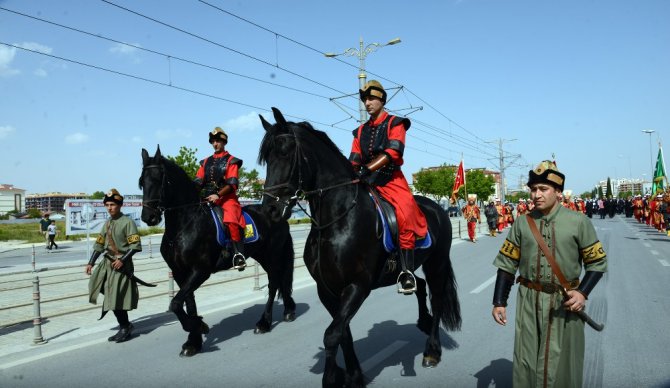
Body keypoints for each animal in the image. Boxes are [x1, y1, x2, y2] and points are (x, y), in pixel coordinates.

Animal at [140, 146, 296, 358]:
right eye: (142, 181)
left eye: (158, 179)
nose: (148, 217)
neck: (185, 225)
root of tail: (278, 212)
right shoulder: (181, 273)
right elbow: (187, 303)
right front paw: (193, 341)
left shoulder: (200, 271)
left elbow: (175, 304)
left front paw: (198, 326)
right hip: (263, 256)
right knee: (280, 281)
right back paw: (288, 311)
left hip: (272, 256)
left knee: (274, 284)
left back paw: (264, 323)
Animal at [258, 107, 462, 386]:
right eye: (266, 158)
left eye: (285, 151)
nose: (269, 210)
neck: (337, 219)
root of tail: (439, 208)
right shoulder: (327, 289)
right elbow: (343, 333)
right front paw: (354, 375)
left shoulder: (357, 286)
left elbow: (332, 334)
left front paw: (332, 377)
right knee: (418, 285)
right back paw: (422, 319)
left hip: (437, 263)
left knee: (438, 299)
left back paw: (432, 350)